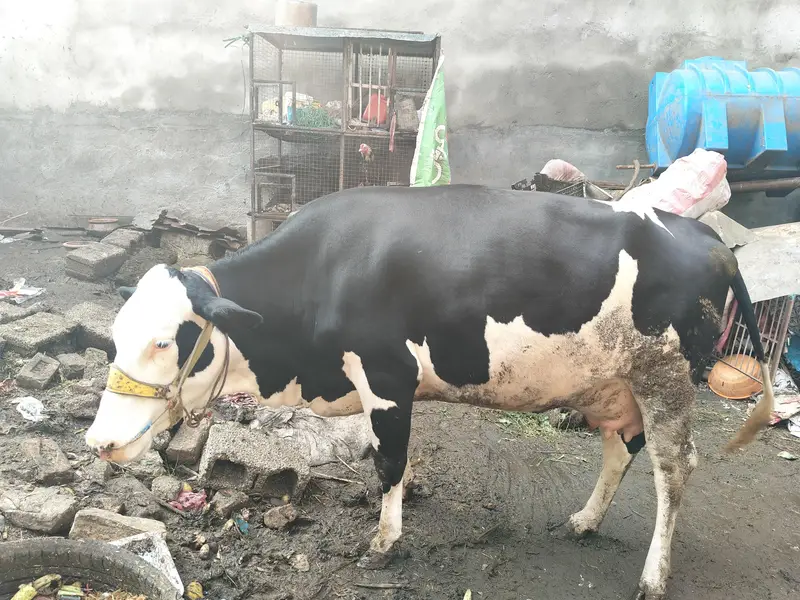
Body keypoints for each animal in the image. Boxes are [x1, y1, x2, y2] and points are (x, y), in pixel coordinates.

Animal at [85, 184, 774, 600]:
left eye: (164, 342)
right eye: (116, 336)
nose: (99, 441)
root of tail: (708, 238)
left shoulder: (387, 377)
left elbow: (388, 459)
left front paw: (384, 542)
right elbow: (395, 456)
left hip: (666, 378)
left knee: (672, 471)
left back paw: (654, 575)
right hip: (614, 383)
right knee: (618, 449)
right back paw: (584, 520)